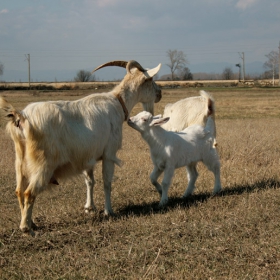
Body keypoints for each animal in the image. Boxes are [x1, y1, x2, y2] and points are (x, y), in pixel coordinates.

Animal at [0, 59, 162, 236]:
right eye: (150, 80)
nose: (160, 93)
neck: (118, 102)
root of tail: (21, 117)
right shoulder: (109, 153)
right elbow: (107, 182)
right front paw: (109, 211)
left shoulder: (87, 157)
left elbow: (90, 181)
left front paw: (89, 207)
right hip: (43, 165)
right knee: (29, 193)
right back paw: (26, 228)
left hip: (20, 163)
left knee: (19, 191)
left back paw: (32, 222)